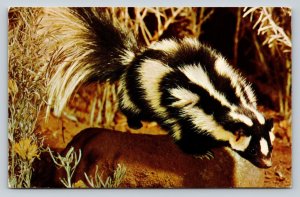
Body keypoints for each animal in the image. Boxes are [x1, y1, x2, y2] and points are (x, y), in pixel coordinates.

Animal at [44, 7, 274, 168]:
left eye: (269, 147)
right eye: (253, 149)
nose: (267, 164)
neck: (228, 102)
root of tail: (133, 59)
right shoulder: (188, 104)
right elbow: (183, 130)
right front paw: (201, 152)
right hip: (140, 88)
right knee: (131, 105)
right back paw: (135, 123)